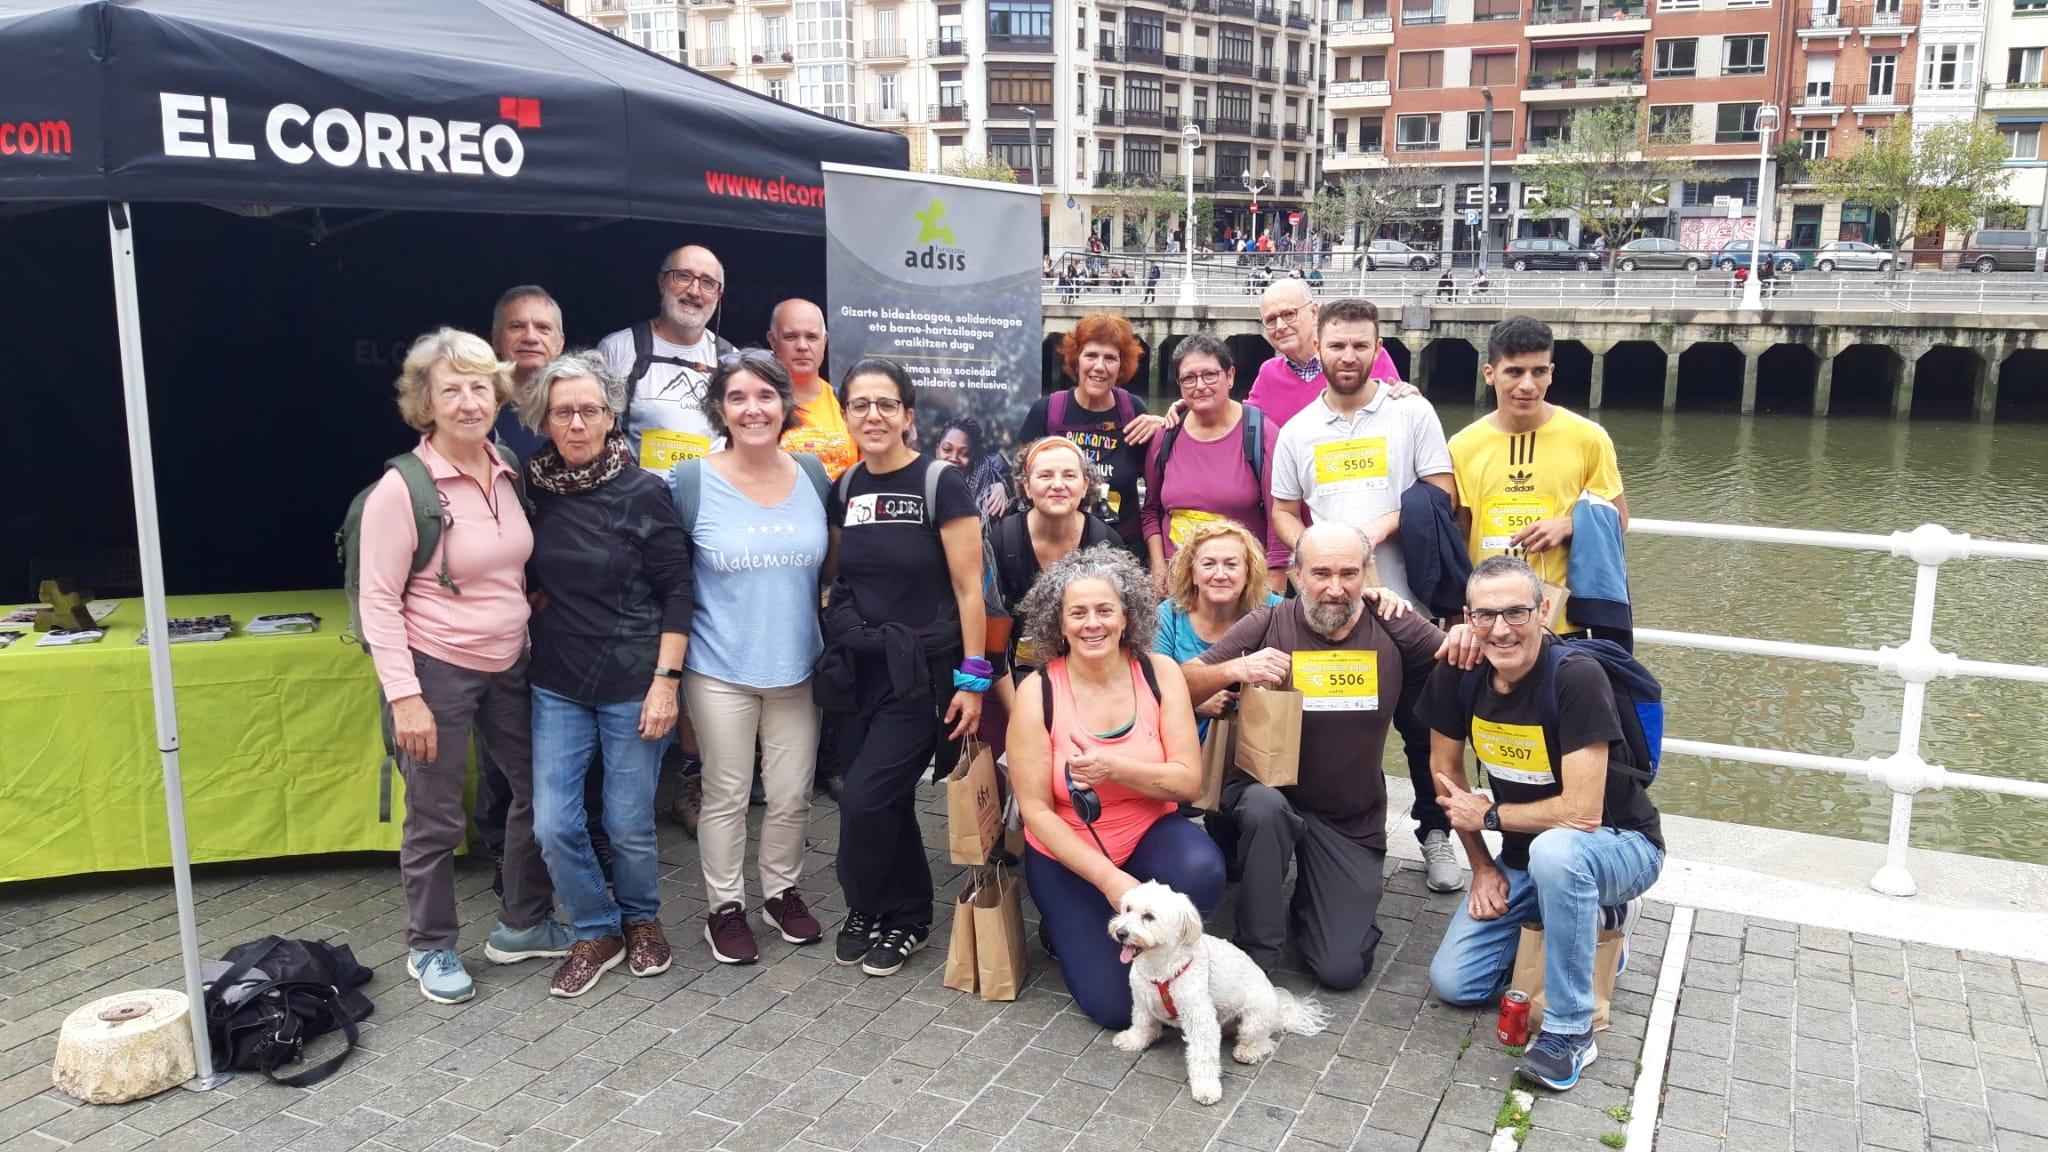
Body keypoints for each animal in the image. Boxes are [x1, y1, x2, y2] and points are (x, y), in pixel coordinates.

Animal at [1105, 877, 1327, 1106]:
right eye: (1128, 908)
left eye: (1149, 916)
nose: (1121, 933)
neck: (1159, 969)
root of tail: (1280, 1005)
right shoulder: (1142, 999)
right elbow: (1141, 1023)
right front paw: (1133, 1040)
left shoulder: (1200, 1018)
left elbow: (1203, 1055)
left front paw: (1206, 1088)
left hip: (1254, 1018)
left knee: (1263, 1041)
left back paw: (1248, 1051)